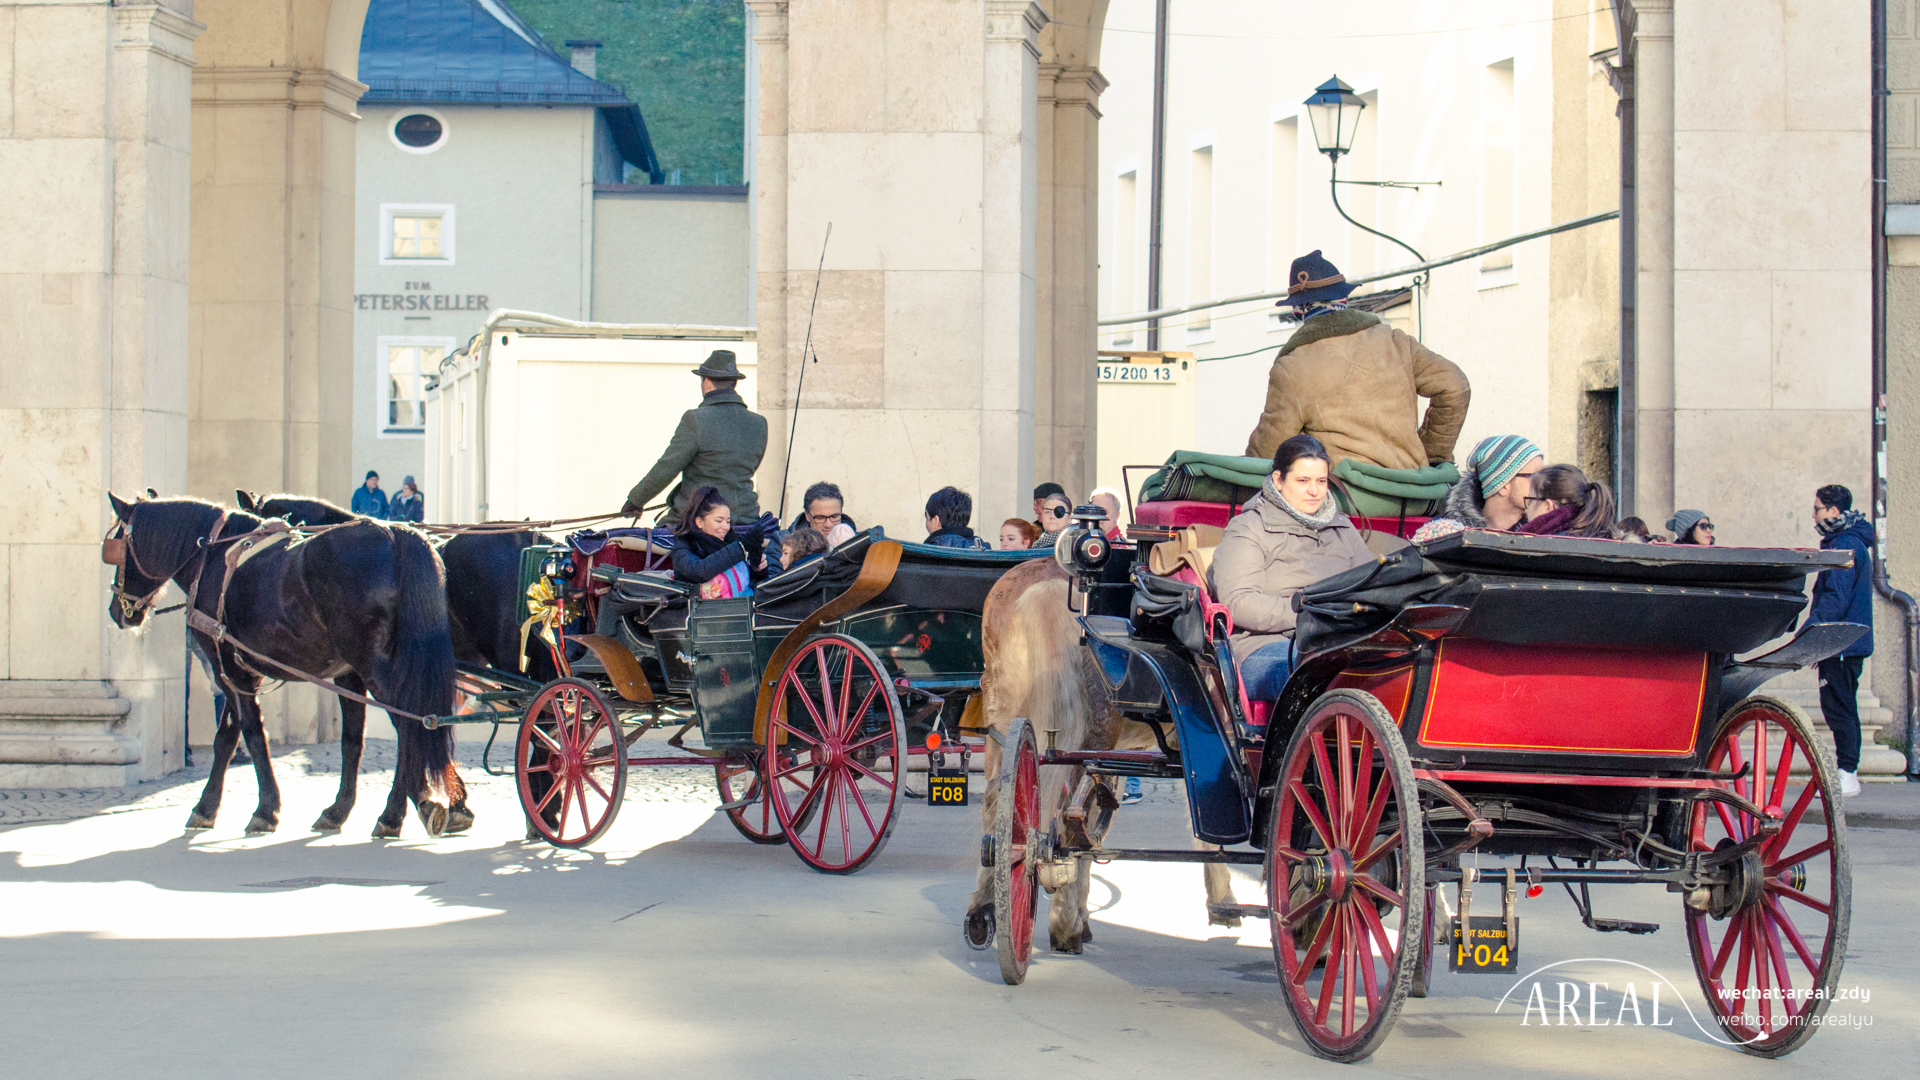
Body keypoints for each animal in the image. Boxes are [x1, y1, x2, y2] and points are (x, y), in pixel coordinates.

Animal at [106, 491, 460, 837]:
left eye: (118, 546)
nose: (116, 610)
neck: (213, 558)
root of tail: (394, 534)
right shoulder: (330, 675)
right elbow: (233, 737)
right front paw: (208, 807)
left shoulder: (229, 670)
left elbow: (252, 733)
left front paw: (265, 809)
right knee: (414, 725)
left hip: (377, 670)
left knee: (410, 726)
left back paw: (396, 812)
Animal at [960, 553, 1228, 949]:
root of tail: (1048, 585)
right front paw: (1224, 896)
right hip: (1091, 740)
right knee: (1069, 823)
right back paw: (1065, 923)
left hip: (1004, 727)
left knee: (998, 806)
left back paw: (983, 909)